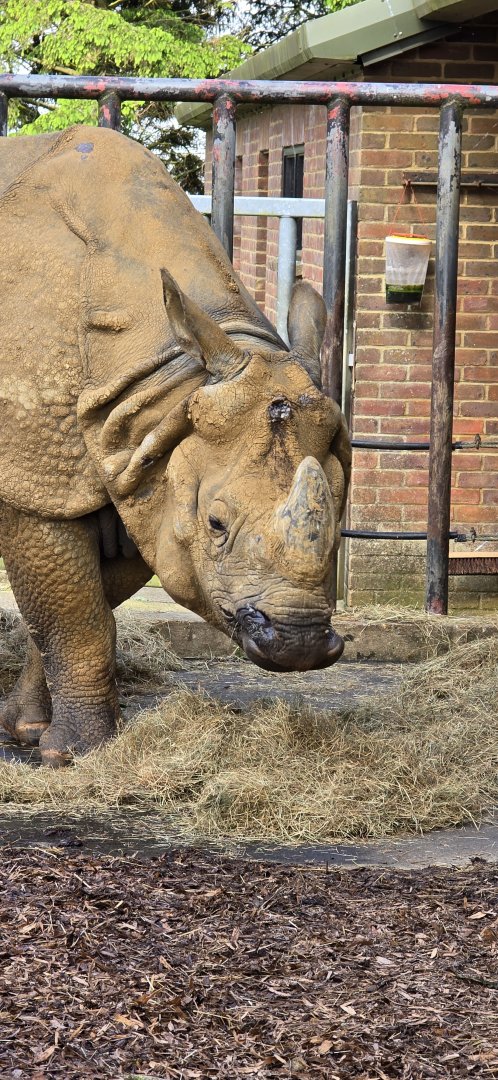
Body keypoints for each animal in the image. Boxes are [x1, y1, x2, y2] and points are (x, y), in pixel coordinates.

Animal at [0, 125, 351, 766]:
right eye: (216, 523)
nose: (300, 646)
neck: (169, 375)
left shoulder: (138, 455)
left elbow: (87, 606)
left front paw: (31, 733)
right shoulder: (36, 477)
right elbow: (71, 617)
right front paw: (77, 754)